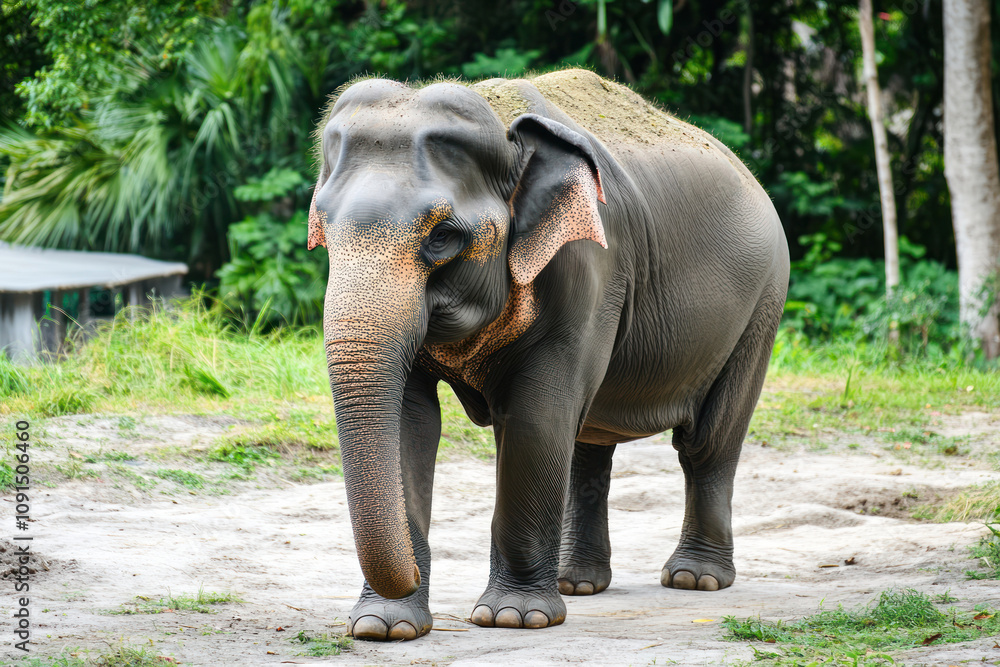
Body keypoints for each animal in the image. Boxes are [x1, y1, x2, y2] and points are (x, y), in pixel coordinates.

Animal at [307, 68, 789, 641]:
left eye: (442, 237)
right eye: (324, 231)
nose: (408, 579)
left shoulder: (588, 267)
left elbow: (536, 419)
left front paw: (513, 618)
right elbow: (410, 422)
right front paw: (385, 627)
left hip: (761, 305)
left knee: (706, 442)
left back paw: (696, 579)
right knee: (587, 444)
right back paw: (576, 584)